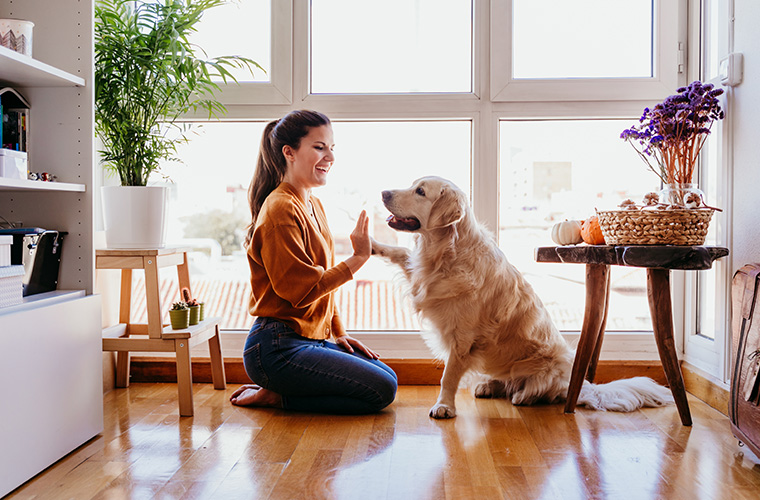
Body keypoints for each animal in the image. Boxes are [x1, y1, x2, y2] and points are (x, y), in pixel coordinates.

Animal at [372, 176, 672, 418]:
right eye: (413, 185)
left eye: (420, 191)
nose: (383, 192)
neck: (446, 252)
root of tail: (578, 385)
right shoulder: (422, 277)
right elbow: (400, 253)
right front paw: (372, 244)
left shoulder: (462, 338)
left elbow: (448, 376)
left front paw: (444, 406)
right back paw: (488, 386)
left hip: (549, 365)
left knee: (541, 391)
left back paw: (523, 396)